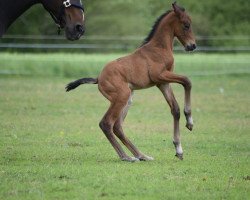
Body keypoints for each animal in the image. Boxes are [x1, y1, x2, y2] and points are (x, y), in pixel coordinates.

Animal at [65, 2, 196, 162]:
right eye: (186, 25)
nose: (192, 46)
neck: (159, 48)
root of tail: (99, 78)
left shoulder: (163, 83)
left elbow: (175, 109)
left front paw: (179, 149)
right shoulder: (160, 76)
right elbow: (187, 81)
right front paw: (189, 121)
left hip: (128, 99)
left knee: (117, 126)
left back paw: (141, 155)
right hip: (121, 97)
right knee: (106, 123)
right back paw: (126, 157)